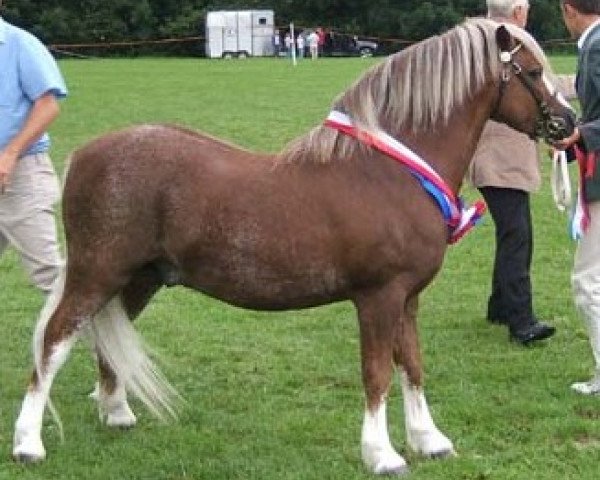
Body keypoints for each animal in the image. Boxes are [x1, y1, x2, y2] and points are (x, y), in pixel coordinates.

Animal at [10, 17, 572, 472]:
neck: (389, 171)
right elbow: (376, 373)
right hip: (96, 272)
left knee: (106, 335)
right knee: (55, 340)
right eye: (531, 71)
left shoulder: (408, 298)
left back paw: (117, 413)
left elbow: (411, 365)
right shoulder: (378, 297)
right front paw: (382, 454)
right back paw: (28, 443)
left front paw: (429, 440)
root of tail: (86, 153)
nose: (566, 124)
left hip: (140, 278)